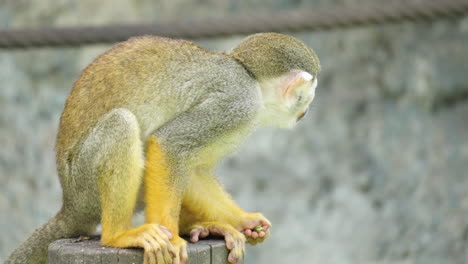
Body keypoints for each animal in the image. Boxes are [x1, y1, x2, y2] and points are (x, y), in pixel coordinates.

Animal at [6, 33, 318, 264]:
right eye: (307, 97)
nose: (305, 113)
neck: (250, 78)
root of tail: (69, 204)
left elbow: (190, 167)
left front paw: (246, 220)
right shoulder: (236, 103)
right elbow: (170, 145)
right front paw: (173, 240)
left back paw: (201, 227)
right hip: (84, 185)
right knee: (122, 124)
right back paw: (119, 235)